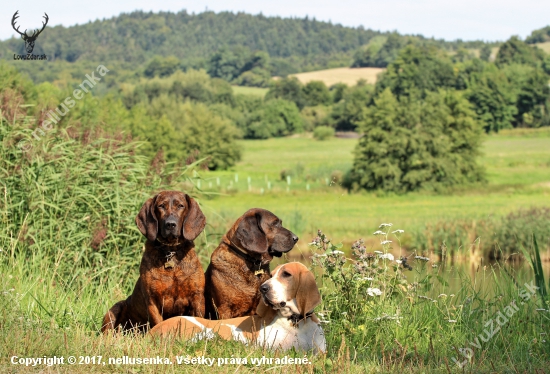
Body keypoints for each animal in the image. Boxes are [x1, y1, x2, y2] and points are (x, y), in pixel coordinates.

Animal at [101, 191, 207, 332]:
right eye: (161, 206)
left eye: (181, 206)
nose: (170, 224)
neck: (170, 251)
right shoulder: (153, 300)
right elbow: (158, 323)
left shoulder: (197, 297)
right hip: (115, 309)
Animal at [149, 260, 326, 354]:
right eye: (271, 275)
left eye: (286, 274)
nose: (263, 288)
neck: (295, 322)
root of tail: (151, 332)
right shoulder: (270, 349)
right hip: (204, 331)